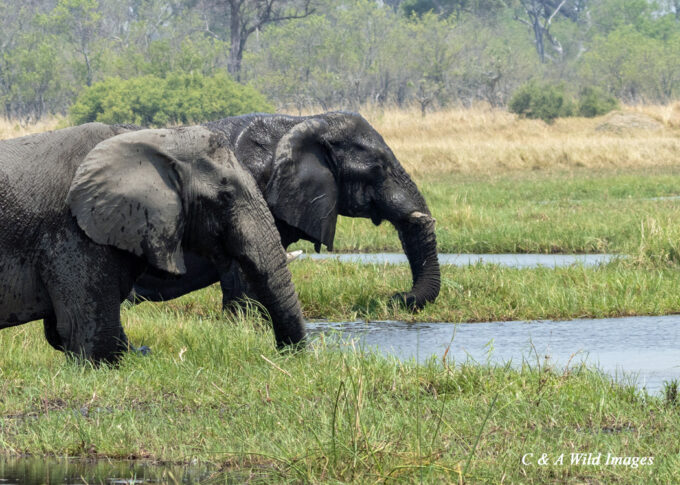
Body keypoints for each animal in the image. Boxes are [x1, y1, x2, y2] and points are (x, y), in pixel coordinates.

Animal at [0, 123, 305, 363]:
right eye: (226, 196)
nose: (284, 355)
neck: (154, 139)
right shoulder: (74, 234)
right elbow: (88, 334)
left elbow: (62, 332)